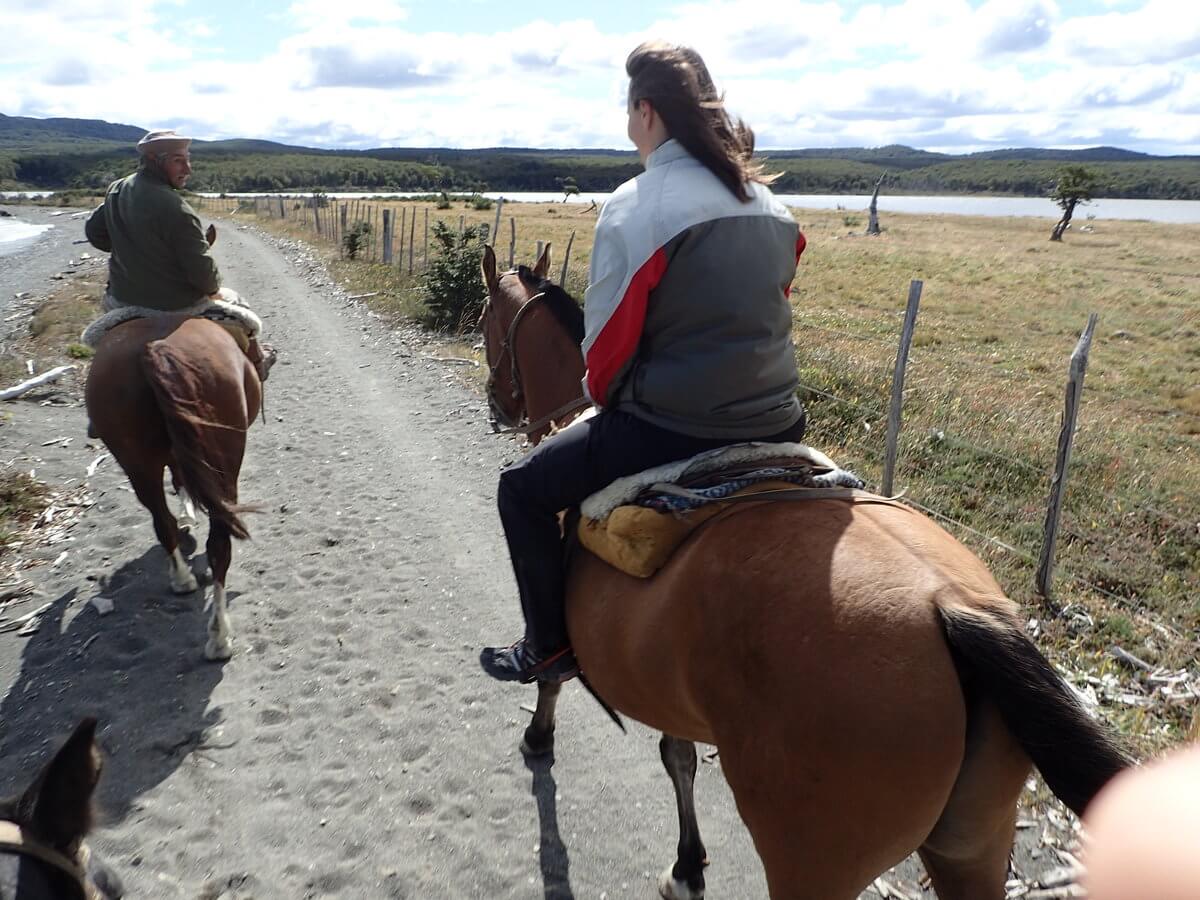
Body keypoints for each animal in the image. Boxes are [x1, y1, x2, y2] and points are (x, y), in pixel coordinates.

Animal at [86, 314, 260, 662]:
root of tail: (155, 349)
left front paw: (186, 512)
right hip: (225, 461)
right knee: (219, 546)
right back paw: (219, 637)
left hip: (137, 463)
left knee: (162, 522)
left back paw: (181, 579)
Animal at [480, 244, 1132, 900]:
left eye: (486, 320)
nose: (496, 402)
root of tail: (952, 609)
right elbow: (678, 757)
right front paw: (689, 865)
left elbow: (554, 673)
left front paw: (538, 735)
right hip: (972, 849)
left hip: (812, 860)